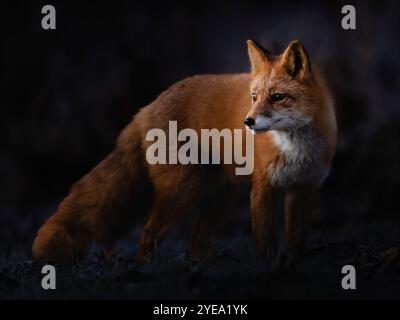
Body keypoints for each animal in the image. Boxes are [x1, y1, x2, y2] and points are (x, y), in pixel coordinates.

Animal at [32, 40, 336, 262]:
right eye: (254, 97)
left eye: (277, 97)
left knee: (196, 240)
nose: (248, 122)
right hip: (183, 191)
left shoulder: (303, 190)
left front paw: (292, 263)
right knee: (148, 233)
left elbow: (295, 239)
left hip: (220, 196)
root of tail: (145, 109)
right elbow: (265, 240)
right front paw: (267, 266)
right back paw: (147, 269)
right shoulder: (263, 188)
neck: (297, 150)